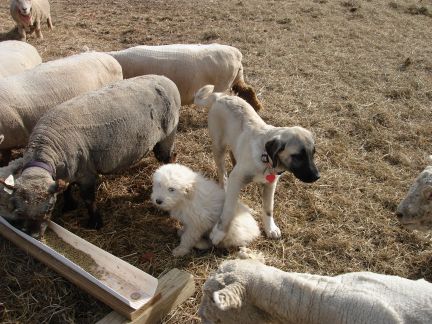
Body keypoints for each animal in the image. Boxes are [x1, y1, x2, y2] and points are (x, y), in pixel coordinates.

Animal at [8, 74, 181, 238]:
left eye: (49, 208)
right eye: (18, 209)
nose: (33, 235)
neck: (45, 150)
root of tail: (167, 80)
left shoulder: (87, 174)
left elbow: (89, 200)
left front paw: (95, 222)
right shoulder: (67, 171)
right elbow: (66, 189)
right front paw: (69, 205)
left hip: (168, 135)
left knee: (169, 158)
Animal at [194, 85, 318, 244]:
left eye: (313, 153)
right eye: (298, 156)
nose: (317, 177)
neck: (266, 159)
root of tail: (221, 97)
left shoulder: (270, 185)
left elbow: (268, 208)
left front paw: (270, 228)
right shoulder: (237, 179)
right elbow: (229, 209)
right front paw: (219, 232)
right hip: (218, 148)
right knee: (223, 175)